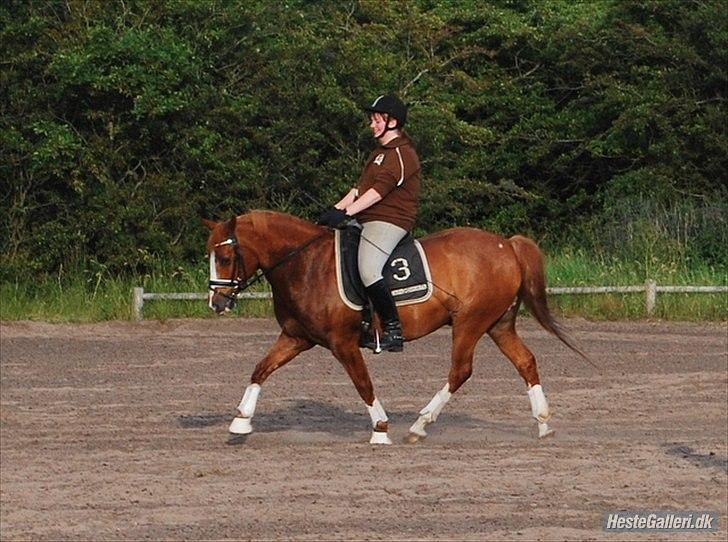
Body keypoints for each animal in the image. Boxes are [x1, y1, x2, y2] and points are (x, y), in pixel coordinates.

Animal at [203, 210, 580, 444]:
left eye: (225, 258)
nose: (217, 303)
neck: (305, 264)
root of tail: (507, 246)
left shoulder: (343, 343)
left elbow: (363, 383)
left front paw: (381, 429)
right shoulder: (296, 337)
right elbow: (261, 369)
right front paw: (240, 422)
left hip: (470, 322)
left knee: (460, 371)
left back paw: (419, 425)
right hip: (498, 324)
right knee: (525, 361)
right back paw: (544, 424)